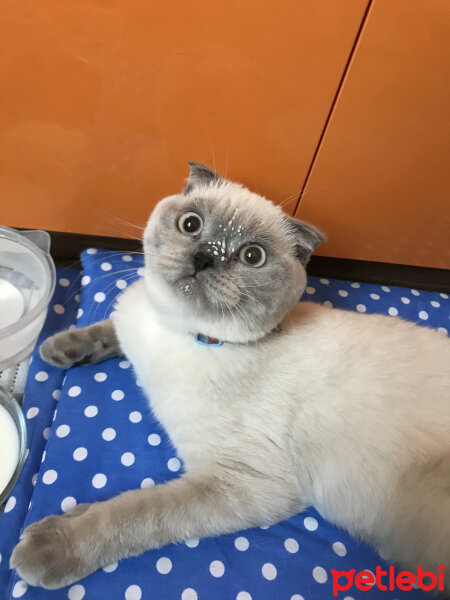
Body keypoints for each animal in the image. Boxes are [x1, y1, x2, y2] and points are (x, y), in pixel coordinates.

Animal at [10, 161, 450, 592]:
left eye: (252, 256)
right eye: (191, 224)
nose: (205, 256)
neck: (180, 331)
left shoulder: (240, 482)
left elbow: (132, 513)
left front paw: (43, 549)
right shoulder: (130, 327)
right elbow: (106, 330)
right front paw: (58, 348)